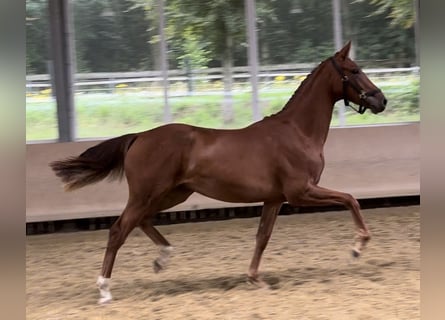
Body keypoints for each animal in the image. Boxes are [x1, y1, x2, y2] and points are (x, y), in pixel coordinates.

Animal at [51, 42, 386, 302]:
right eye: (355, 70)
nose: (381, 100)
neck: (297, 132)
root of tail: (139, 137)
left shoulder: (274, 199)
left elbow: (262, 237)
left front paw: (255, 279)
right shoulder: (300, 192)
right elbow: (350, 199)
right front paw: (357, 248)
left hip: (172, 194)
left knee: (141, 221)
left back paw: (162, 259)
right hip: (148, 194)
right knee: (119, 229)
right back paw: (105, 289)